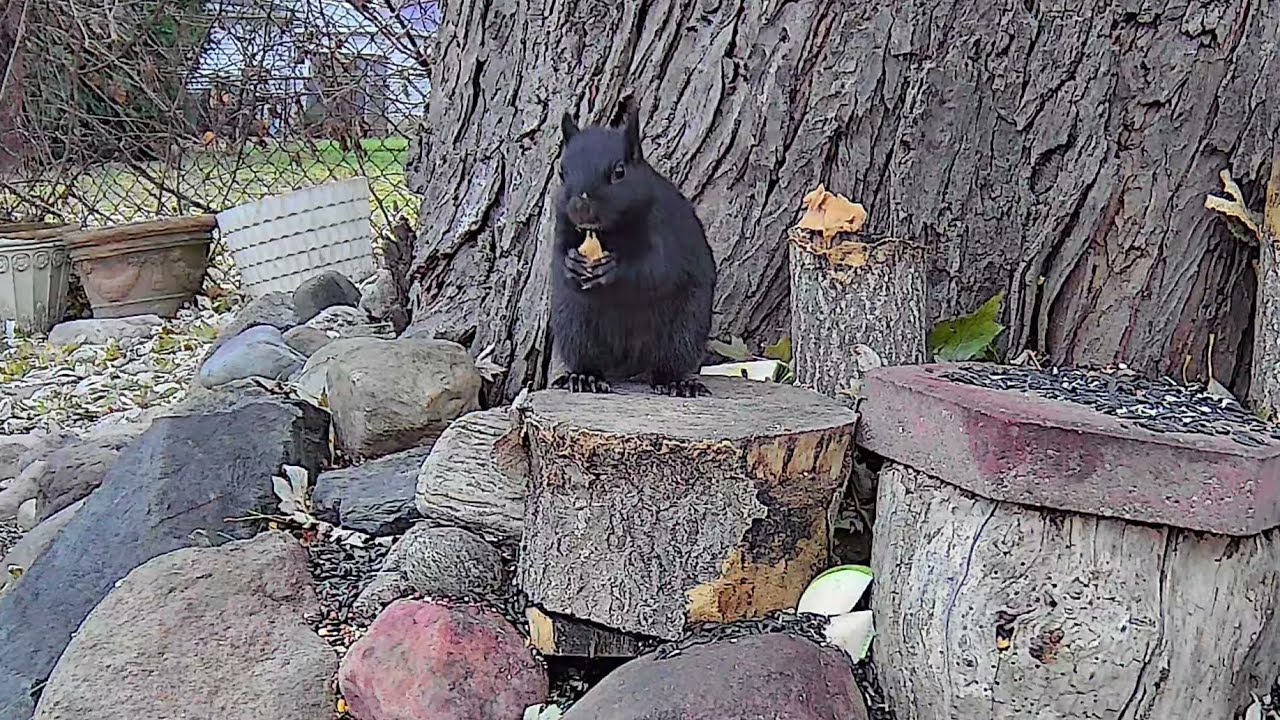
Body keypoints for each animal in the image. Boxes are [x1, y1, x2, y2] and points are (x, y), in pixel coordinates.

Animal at [548, 98, 717, 398]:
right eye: (562, 172)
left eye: (619, 172)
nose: (580, 207)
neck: (609, 231)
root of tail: (628, 363)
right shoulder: (562, 220)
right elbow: (558, 255)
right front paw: (572, 264)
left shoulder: (664, 227)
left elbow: (656, 271)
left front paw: (612, 269)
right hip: (575, 327)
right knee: (588, 358)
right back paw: (584, 377)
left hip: (683, 330)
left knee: (669, 362)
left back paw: (676, 382)